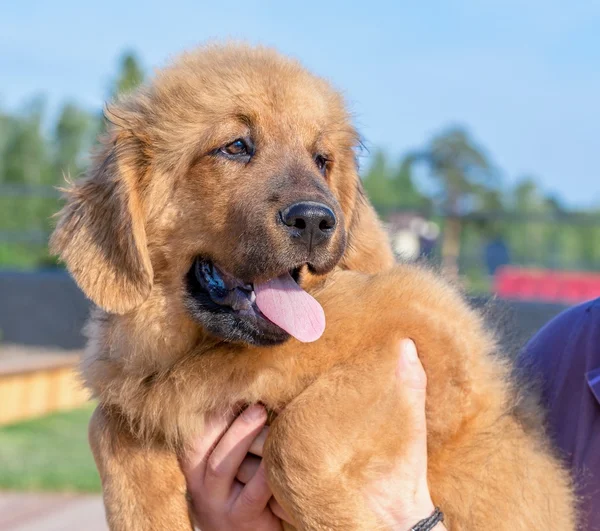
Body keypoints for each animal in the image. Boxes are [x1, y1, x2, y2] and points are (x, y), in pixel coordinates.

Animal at [51, 45, 576, 531]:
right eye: (235, 146)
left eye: (321, 160)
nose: (315, 221)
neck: (206, 356)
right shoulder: (136, 395)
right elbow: (107, 428)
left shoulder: (431, 355)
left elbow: (295, 436)